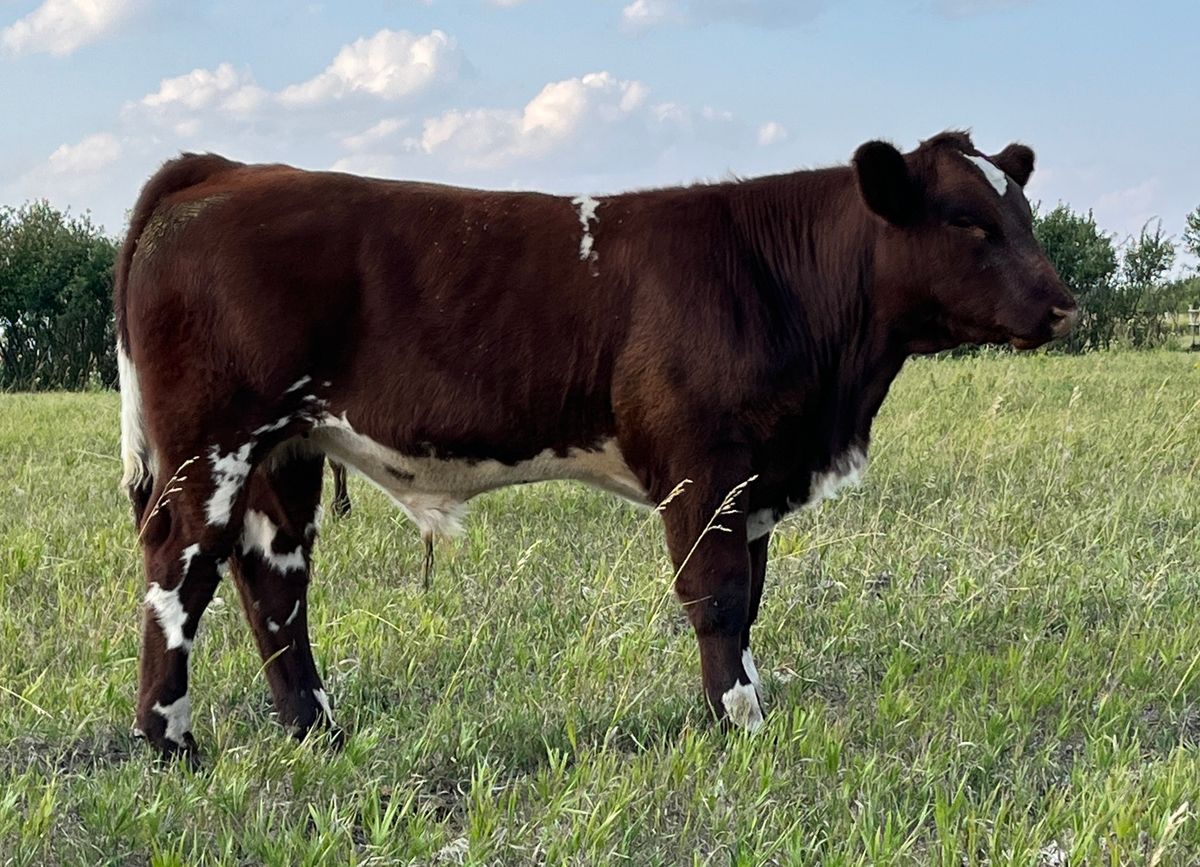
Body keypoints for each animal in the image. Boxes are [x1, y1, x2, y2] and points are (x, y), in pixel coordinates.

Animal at [114, 128, 1080, 758]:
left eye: (1025, 214)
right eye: (966, 220)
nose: (1064, 304)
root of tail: (226, 171)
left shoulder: (755, 477)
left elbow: (750, 599)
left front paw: (736, 708)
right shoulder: (702, 467)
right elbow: (718, 596)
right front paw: (742, 721)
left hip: (287, 449)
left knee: (271, 579)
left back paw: (317, 730)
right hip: (215, 441)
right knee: (179, 565)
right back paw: (171, 740)